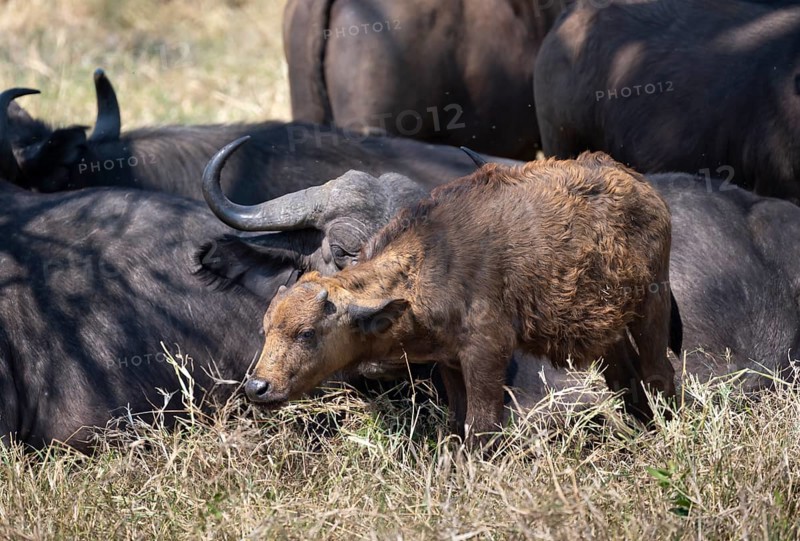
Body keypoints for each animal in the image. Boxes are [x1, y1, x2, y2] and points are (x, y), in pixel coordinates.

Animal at [216, 147, 678, 447]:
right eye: (267, 330)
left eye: (307, 333)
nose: (257, 386)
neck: (429, 264)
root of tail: (637, 182)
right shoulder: (450, 361)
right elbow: (457, 425)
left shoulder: (486, 355)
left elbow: (482, 427)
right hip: (607, 326)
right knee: (623, 379)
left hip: (651, 306)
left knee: (659, 373)